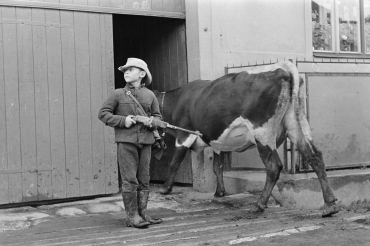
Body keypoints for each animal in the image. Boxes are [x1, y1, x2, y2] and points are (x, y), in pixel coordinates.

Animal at [155, 61, 340, 217]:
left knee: (274, 166)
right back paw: (330, 205)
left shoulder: (183, 135)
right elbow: (217, 167)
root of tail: (284, 67)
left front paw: (165, 189)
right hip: (296, 122)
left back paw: (259, 204)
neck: (176, 100)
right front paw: (220, 192)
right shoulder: (217, 143)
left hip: (263, 132)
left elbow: (174, 163)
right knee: (314, 156)